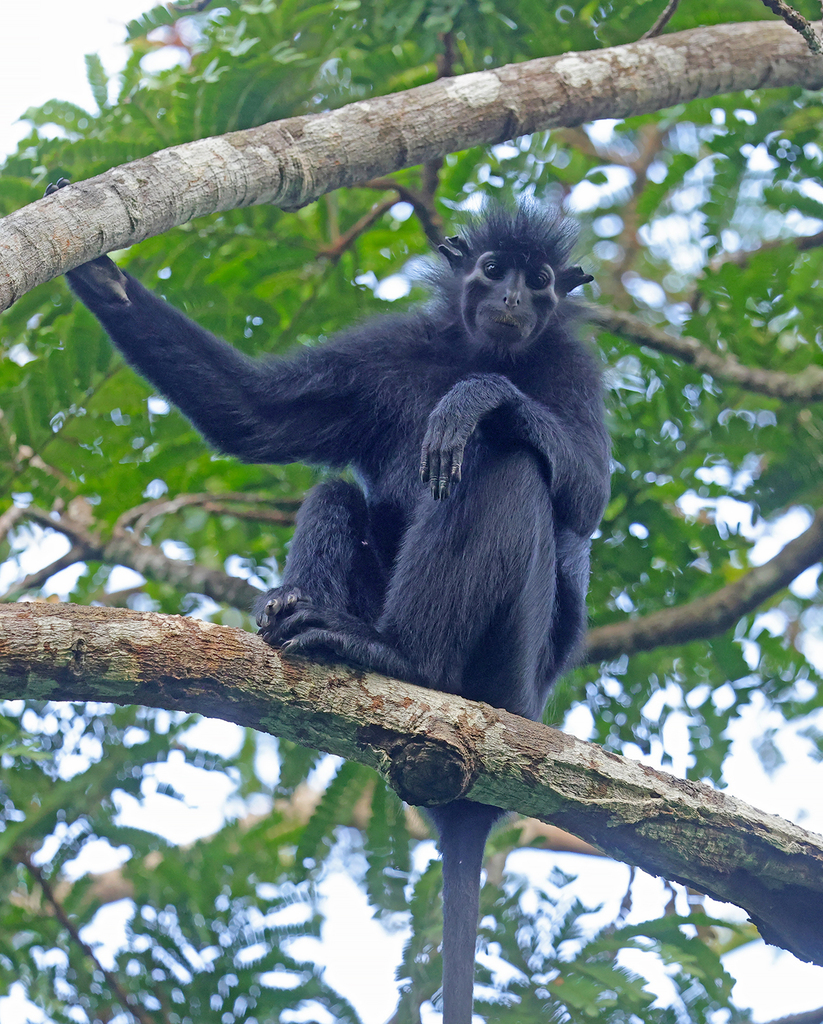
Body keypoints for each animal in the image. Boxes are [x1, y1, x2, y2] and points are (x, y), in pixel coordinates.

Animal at [45, 180, 610, 1019]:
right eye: (493, 269)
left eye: (538, 281)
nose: (513, 295)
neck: (482, 350)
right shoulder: (388, 353)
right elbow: (255, 418)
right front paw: (102, 277)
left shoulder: (573, 363)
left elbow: (586, 492)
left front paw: (476, 398)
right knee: (338, 493)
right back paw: (307, 620)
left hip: (512, 668)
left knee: (506, 464)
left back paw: (404, 656)